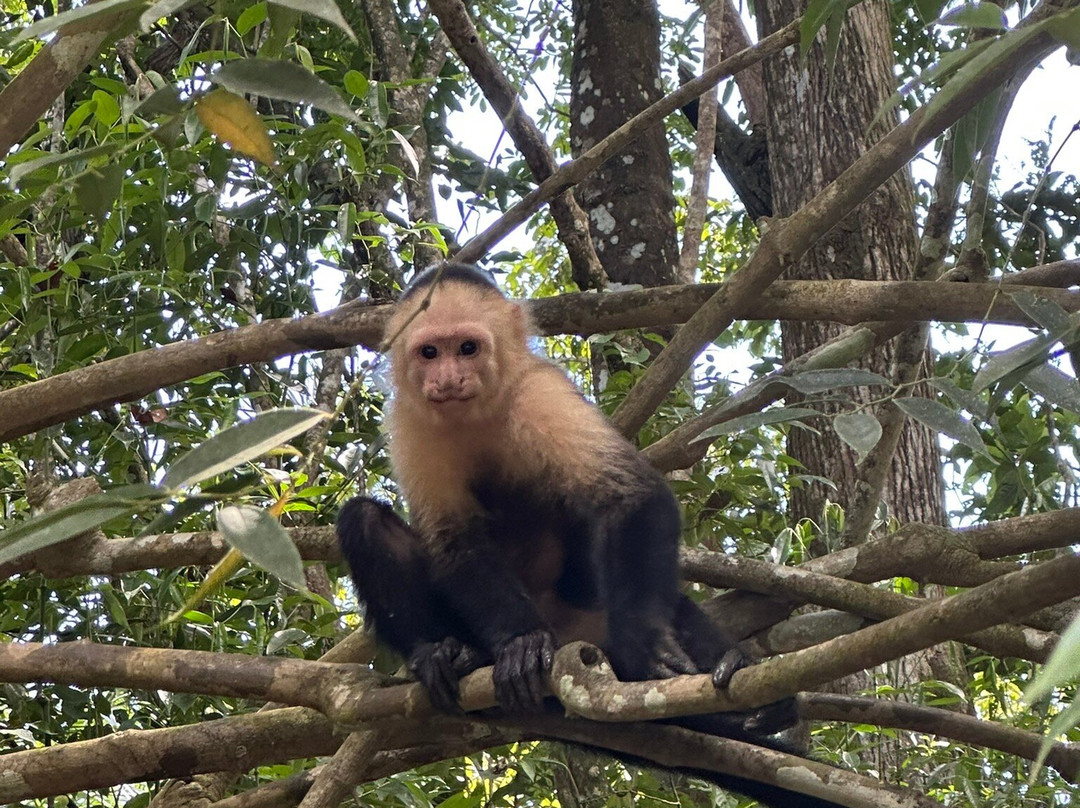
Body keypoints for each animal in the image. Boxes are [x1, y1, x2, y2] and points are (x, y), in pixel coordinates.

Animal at [337, 263, 840, 806]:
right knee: (363, 521)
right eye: (430, 353)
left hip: (589, 618)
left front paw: (646, 646)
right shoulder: (410, 422)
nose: (449, 379)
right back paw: (452, 653)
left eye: (467, 348)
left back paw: (742, 688)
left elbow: (630, 496)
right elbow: (454, 541)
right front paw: (519, 641)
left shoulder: (542, 392)